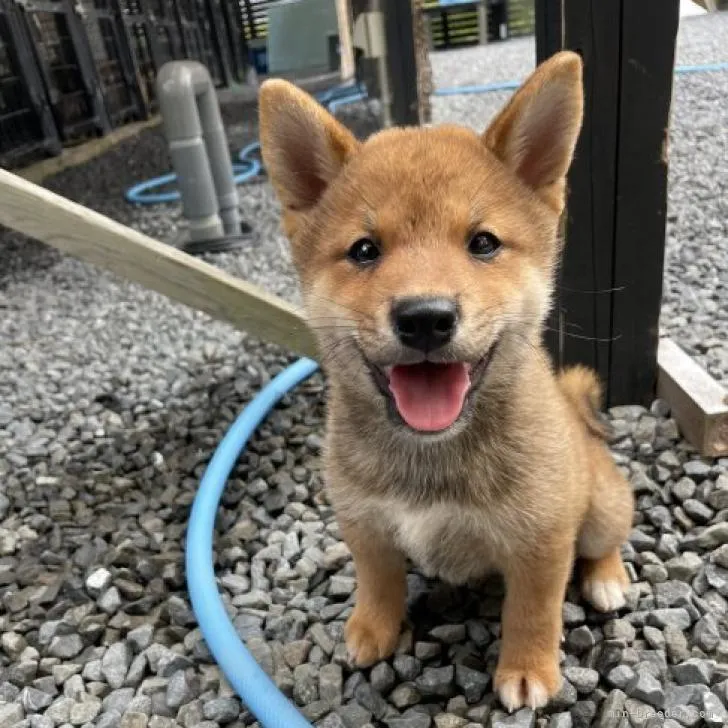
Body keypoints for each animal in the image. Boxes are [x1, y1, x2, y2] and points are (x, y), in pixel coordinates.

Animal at [258, 54, 636, 712]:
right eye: (365, 250)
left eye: (483, 243)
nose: (425, 317)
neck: (431, 460)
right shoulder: (364, 523)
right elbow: (377, 580)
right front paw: (371, 629)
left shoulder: (541, 541)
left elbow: (532, 612)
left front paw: (528, 669)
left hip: (600, 508)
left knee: (605, 539)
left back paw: (608, 578)